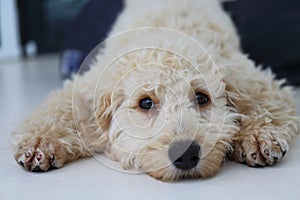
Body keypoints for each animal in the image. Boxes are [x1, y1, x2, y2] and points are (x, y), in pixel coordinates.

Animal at [11, 0, 298, 181]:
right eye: (145, 103)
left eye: (201, 97)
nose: (186, 154)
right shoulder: (87, 88)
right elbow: (59, 111)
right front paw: (39, 141)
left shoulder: (254, 78)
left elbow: (265, 102)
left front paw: (258, 135)